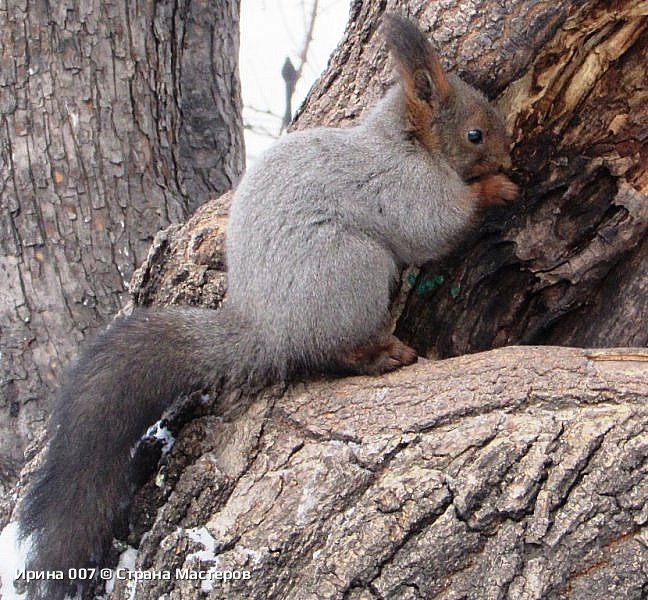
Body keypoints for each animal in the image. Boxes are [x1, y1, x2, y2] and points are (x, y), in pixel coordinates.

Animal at [17, 14, 520, 600]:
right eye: (474, 134)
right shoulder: (405, 188)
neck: (406, 140)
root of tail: (264, 327)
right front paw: (496, 189)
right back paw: (379, 355)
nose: (509, 157)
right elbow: (437, 227)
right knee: (329, 352)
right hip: (355, 271)